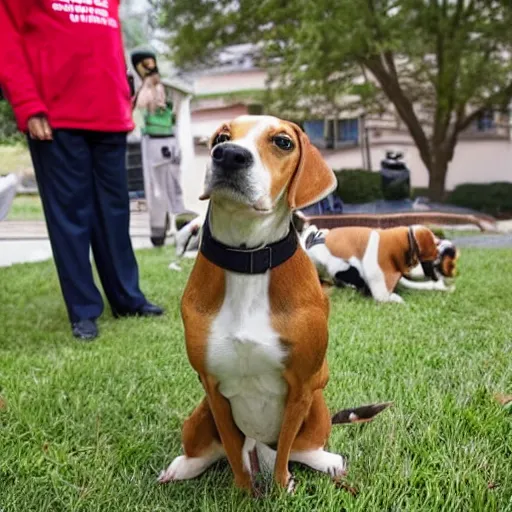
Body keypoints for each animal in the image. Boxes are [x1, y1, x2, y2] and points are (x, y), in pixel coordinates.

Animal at [158, 115, 354, 492]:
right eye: (221, 137)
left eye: (283, 142)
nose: (229, 155)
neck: (247, 259)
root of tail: (258, 446)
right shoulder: (212, 389)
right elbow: (236, 461)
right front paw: (246, 492)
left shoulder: (301, 386)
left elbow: (284, 457)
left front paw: (280, 488)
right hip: (199, 415)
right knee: (210, 450)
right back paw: (182, 466)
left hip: (316, 407)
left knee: (304, 448)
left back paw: (327, 462)